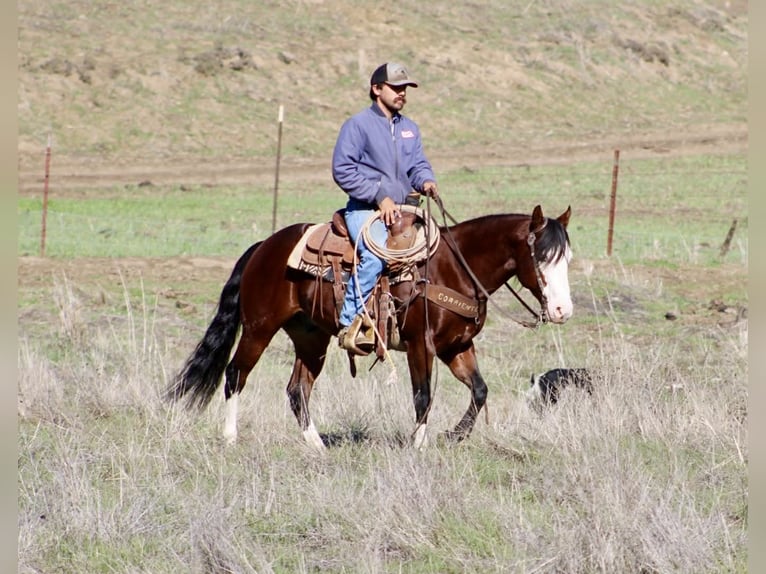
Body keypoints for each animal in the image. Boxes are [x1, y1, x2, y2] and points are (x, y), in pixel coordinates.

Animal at [166, 204, 573, 450]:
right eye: (541, 256)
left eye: (567, 257)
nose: (562, 310)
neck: (454, 268)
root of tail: (265, 246)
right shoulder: (420, 344)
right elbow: (423, 395)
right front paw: (418, 445)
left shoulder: (456, 346)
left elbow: (479, 390)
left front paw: (454, 435)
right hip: (258, 328)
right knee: (236, 373)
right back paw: (230, 437)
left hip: (310, 338)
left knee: (297, 389)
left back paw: (317, 447)